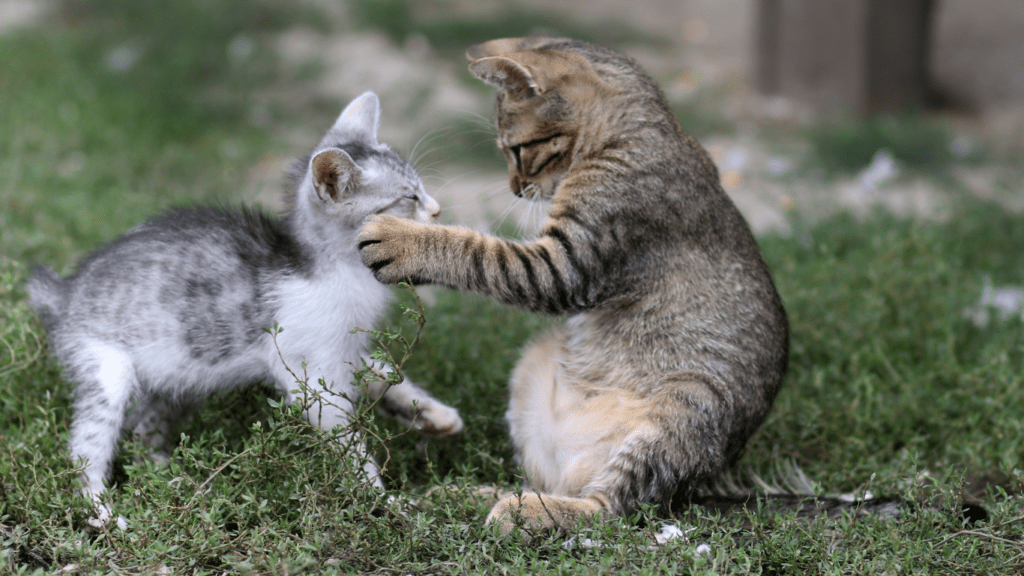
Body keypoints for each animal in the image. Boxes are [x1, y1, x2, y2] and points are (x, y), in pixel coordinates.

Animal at [360, 38, 790, 532]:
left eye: (517, 150)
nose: (515, 187)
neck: (633, 133)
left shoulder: (565, 263)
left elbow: (478, 251)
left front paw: (402, 239)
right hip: (535, 366)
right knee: (546, 485)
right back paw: (465, 494)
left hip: (688, 404)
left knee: (606, 511)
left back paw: (520, 511)